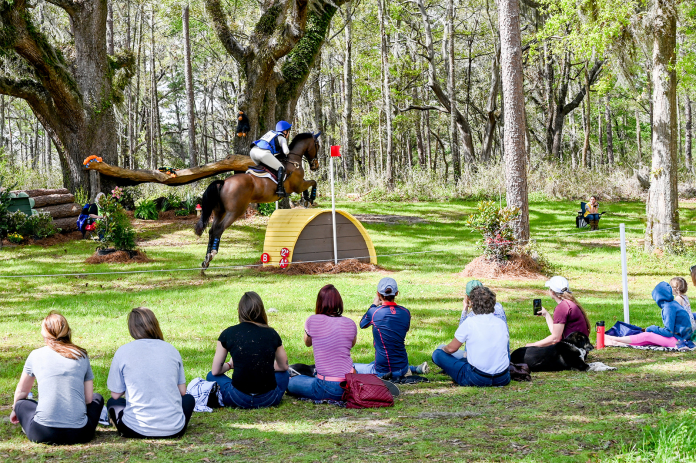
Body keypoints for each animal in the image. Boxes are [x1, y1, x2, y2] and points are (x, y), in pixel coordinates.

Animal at [196, 132, 320, 270]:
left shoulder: (299, 185)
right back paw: (211, 255)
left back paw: (206, 261)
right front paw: (311, 197)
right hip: (234, 212)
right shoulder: (297, 186)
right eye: (317, 145)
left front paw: (306, 199)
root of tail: (224, 182)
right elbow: (313, 182)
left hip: (220, 212)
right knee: (219, 229)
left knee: (212, 230)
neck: (293, 161)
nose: (315, 166)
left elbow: (309, 184)